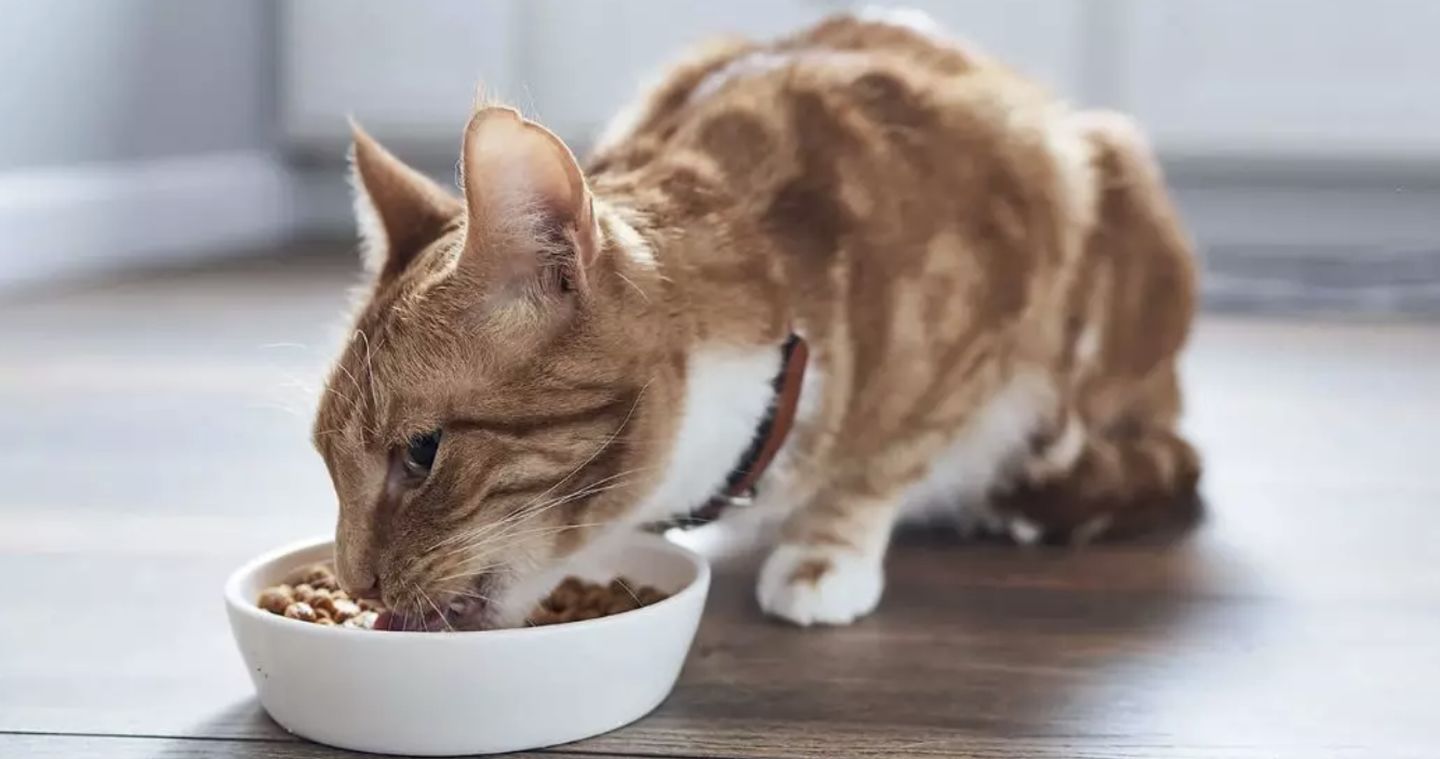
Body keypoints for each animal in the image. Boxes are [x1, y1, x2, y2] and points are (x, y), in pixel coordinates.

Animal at [315, 11, 1203, 630]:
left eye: (422, 452)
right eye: (327, 462)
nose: (355, 580)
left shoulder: (1017, 249)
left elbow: (884, 457)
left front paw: (823, 553)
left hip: (1114, 200)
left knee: (1161, 463)